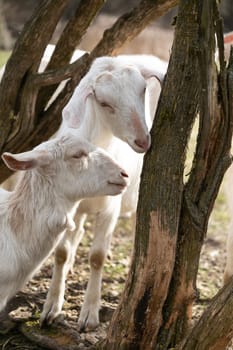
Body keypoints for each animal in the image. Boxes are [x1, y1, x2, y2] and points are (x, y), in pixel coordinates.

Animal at [40, 53, 167, 330]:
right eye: (104, 102)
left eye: (143, 90)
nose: (142, 141)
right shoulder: (68, 205)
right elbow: (61, 253)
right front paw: (51, 307)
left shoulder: (111, 208)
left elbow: (97, 257)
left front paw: (89, 313)